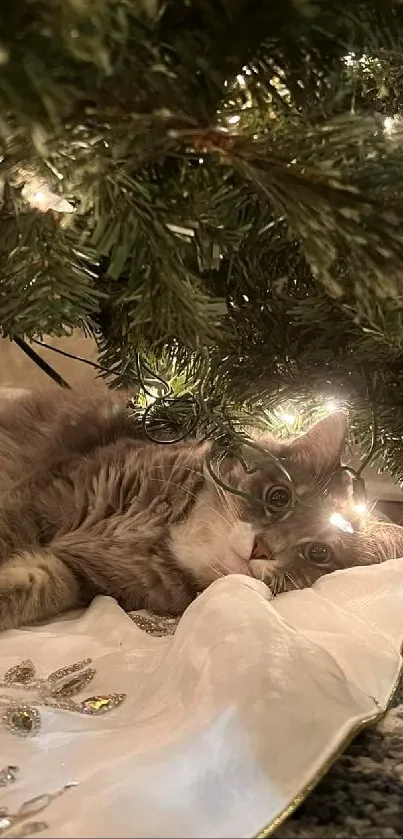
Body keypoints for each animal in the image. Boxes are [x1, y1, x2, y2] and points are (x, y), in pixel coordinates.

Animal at [0, 388, 400, 632]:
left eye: (319, 553)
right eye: (279, 497)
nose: (262, 548)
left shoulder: (76, 576)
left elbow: (34, 586)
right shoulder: (40, 500)